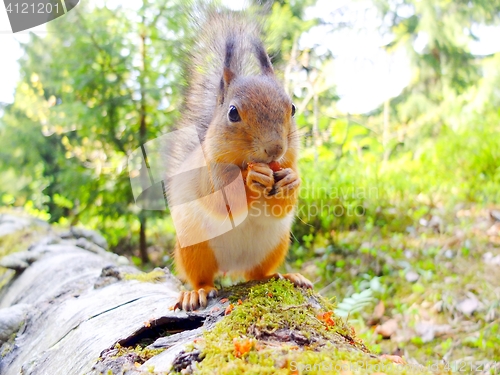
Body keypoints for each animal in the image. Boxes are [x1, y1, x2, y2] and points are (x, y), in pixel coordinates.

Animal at [169, 11, 312, 312]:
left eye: (292, 108)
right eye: (233, 112)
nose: (275, 148)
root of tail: (231, 266)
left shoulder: (289, 163)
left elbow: (283, 205)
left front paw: (291, 181)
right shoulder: (208, 174)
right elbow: (222, 201)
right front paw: (251, 179)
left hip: (274, 245)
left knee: (258, 273)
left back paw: (288, 276)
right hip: (194, 247)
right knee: (202, 277)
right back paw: (195, 293)